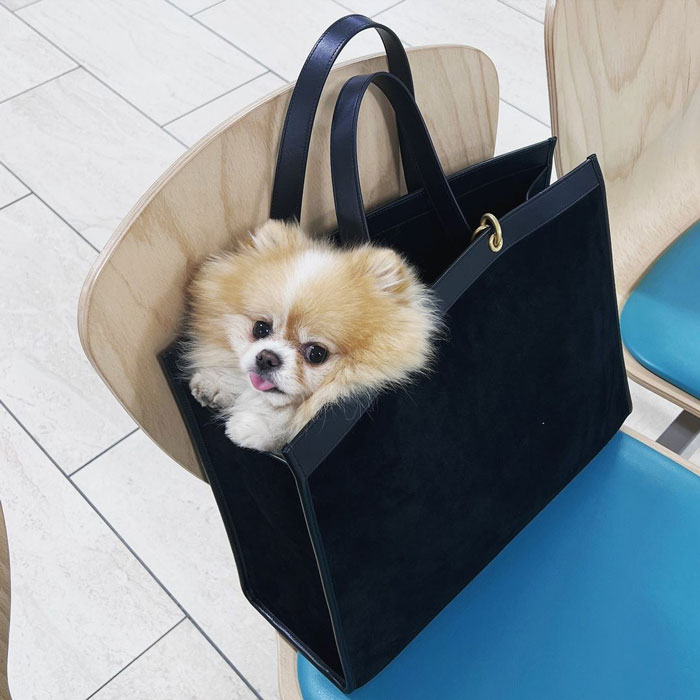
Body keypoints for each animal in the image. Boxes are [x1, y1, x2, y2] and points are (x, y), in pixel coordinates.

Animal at [185, 219, 440, 452]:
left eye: (316, 353)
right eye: (260, 328)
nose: (267, 358)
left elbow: (289, 421)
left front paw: (252, 425)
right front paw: (217, 382)